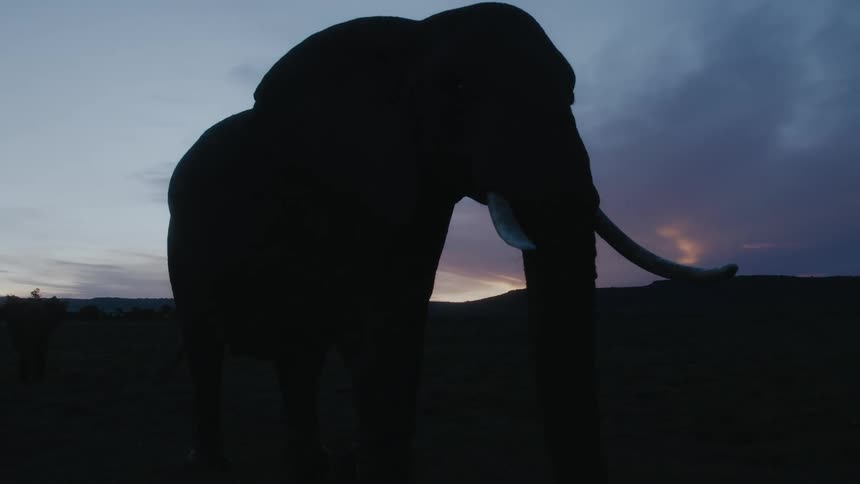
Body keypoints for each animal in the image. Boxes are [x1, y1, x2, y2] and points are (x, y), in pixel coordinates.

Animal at [166, 3, 738, 483]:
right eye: (459, 88)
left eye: (572, 94)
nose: (732, 268)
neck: (417, 34)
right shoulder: (337, 188)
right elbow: (368, 330)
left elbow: (399, 320)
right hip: (182, 247)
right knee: (207, 348)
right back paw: (210, 465)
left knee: (299, 355)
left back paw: (312, 464)